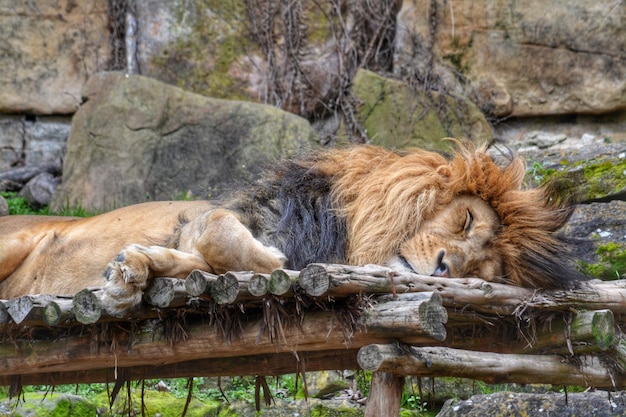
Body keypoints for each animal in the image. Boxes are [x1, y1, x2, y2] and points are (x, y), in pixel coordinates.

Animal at [0, 143, 580, 316]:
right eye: (464, 220)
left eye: (483, 270)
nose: (444, 268)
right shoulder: (226, 213)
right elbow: (218, 235)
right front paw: (275, 263)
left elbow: (199, 261)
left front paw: (131, 271)